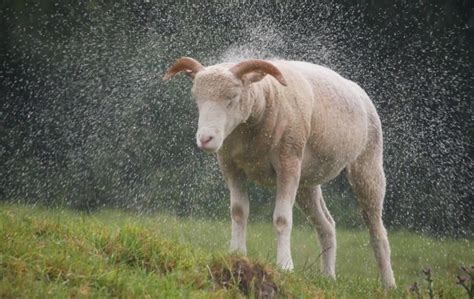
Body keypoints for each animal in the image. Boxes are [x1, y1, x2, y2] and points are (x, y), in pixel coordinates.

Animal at [163, 56, 396, 288]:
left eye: (233, 97)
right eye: (197, 99)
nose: (205, 139)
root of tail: (358, 91)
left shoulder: (288, 163)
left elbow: (282, 219)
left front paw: (285, 266)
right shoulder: (231, 166)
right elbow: (238, 211)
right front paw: (237, 254)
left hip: (367, 165)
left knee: (377, 231)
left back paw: (388, 284)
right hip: (306, 182)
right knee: (327, 225)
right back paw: (328, 277)